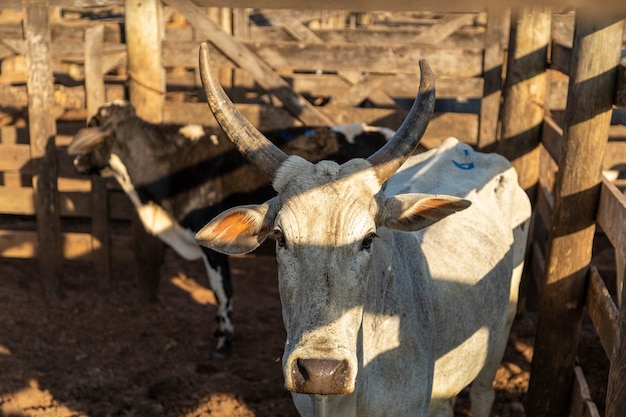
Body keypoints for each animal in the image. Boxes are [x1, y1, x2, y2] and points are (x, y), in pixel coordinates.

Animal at [193, 43, 528, 416]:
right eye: (280, 237)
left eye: (368, 239)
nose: (321, 372)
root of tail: (467, 150)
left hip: (499, 336)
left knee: (484, 391)